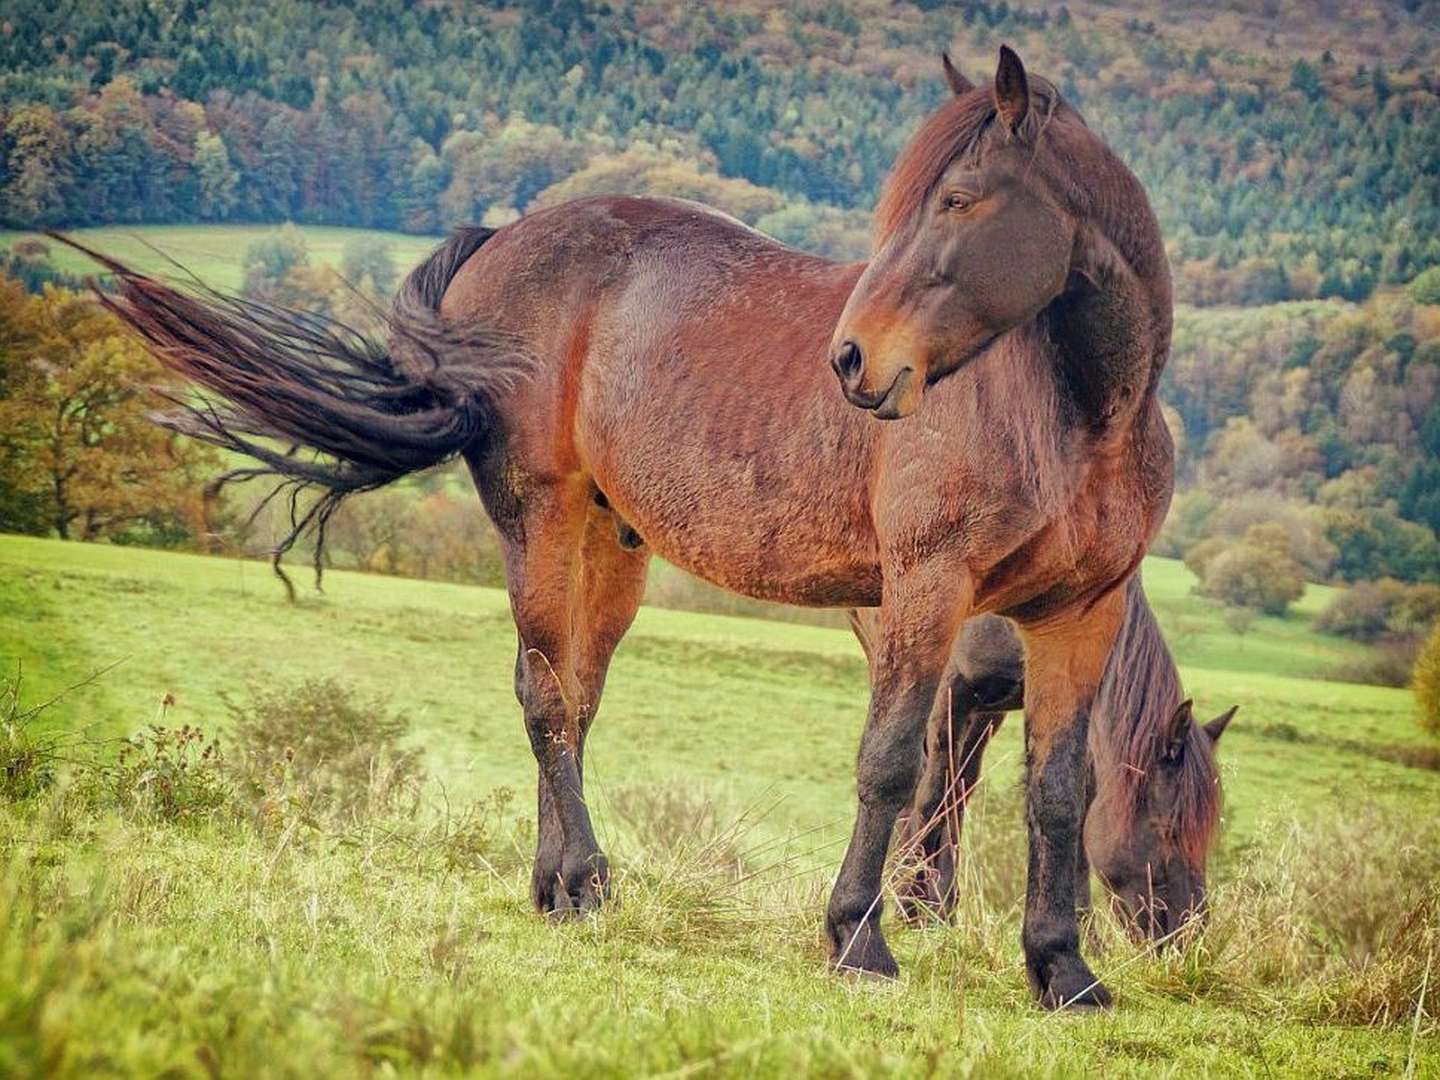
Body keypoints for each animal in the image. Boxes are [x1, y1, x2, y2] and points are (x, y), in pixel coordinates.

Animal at [75, 46, 1180, 1013]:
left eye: (958, 201)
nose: (855, 360)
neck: (1075, 419)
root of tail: (504, 238)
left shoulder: (1080, 613)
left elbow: (1059, 792)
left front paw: (1063, 971)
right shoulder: (924, 589)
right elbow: (893, 765)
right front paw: (858, 942)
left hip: (614, 547)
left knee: (575, 697)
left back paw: (559, 887)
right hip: (541, 515)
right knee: (544, 696)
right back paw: (588, 881)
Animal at [852, 578, 1238, 944]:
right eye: (1168, 830)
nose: (1188, 933)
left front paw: (1087, 941)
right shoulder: (951, 689)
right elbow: (931, 798)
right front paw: (909, 910)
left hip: (986, 715)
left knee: (960, 789)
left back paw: (941, 907)